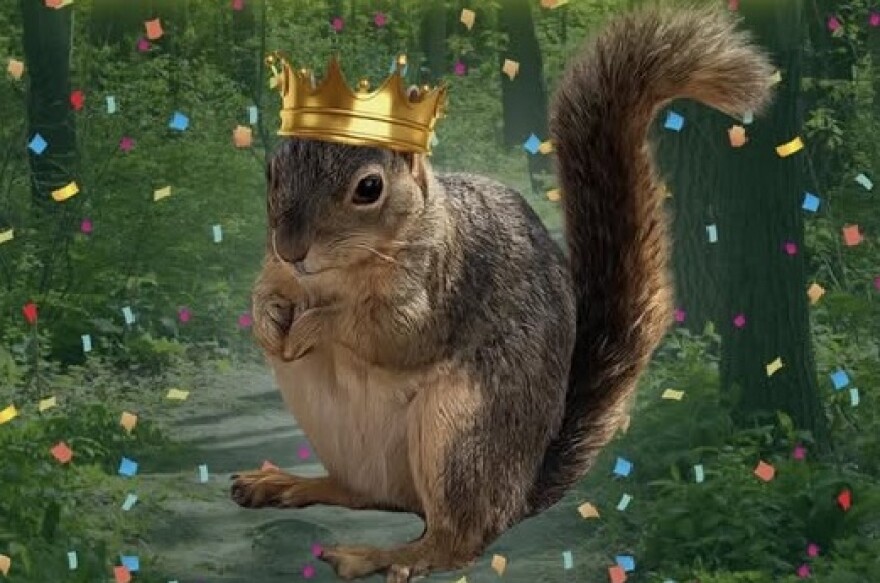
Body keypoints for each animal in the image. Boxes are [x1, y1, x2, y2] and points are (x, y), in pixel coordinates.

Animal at [231, 5, 774, 582]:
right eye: (272, 170)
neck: (335, 274)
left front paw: (314, 326)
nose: (291, 247)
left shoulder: (442, 288)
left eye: (369, 188)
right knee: (366, 493)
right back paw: (286, 483)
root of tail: (521, 489)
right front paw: (268, 322)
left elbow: (390, 334)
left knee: (457, 538)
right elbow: (265, 290)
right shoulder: (278, 271)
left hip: (460, 434)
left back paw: (385, 555)